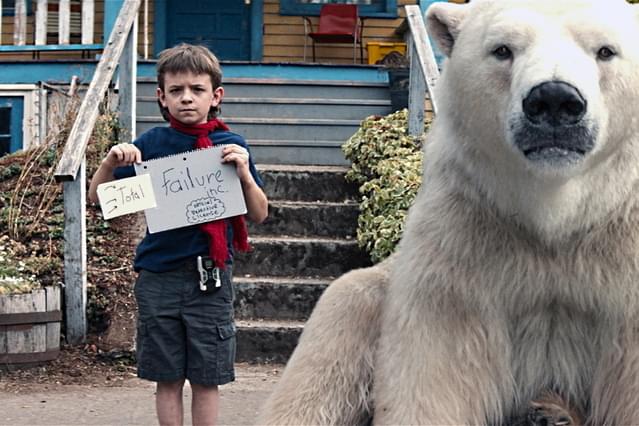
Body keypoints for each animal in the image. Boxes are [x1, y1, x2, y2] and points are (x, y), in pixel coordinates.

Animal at [258, 0, 639, 424]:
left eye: (605, 50)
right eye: (502, 49)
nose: (554, 99)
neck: (554, 213)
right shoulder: (463, 240)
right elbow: (438, 369)